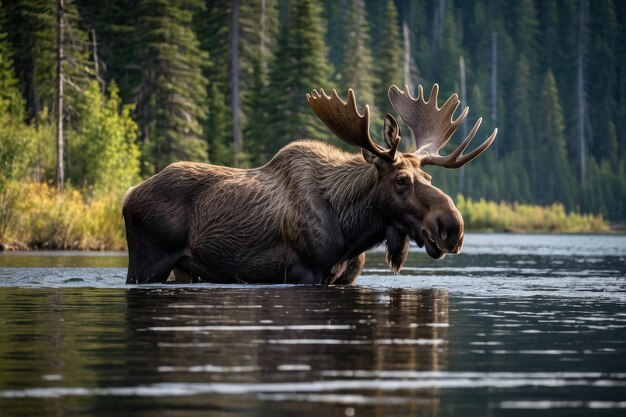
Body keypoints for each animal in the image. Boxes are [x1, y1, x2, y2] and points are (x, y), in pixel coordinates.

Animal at [120, 84, 492, 286]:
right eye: (401, 180)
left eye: (428, 178)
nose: (453, 226)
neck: (352, 229)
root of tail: (127, 195)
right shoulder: (304, 271)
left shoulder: (345, 278)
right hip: (147, 262)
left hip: (184, 267)